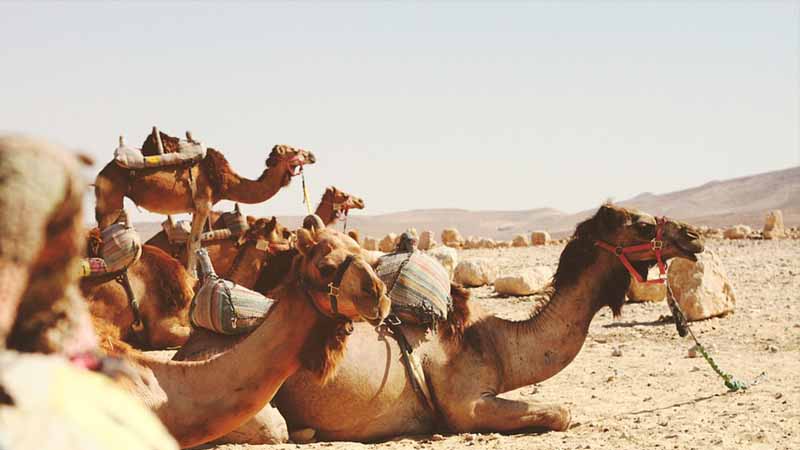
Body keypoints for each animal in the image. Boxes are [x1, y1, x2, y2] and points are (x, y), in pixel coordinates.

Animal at [94, 128, 315, 274]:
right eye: (295, 151)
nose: (312, 155)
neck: (225, 182)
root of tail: (100, 175)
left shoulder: (195, 208)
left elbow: (193, 242)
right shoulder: (204, 203)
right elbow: (194, 243)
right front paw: (192, 278)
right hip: (111, 202)